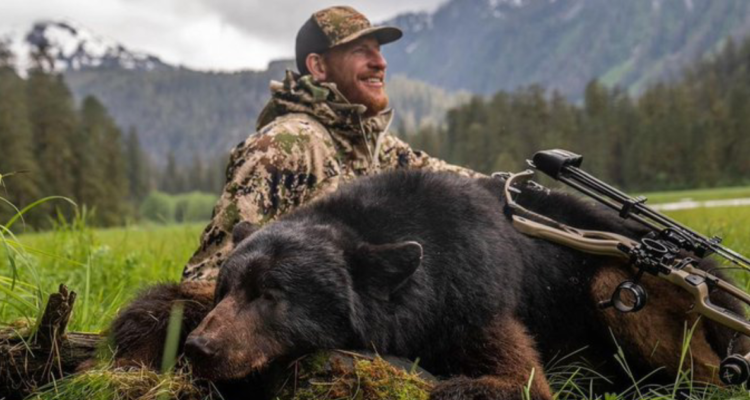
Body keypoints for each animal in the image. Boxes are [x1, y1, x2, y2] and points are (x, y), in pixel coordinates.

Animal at [111, 170, 745, 399]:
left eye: (274, 295)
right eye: (230, 290)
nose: (202, 349)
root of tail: (717, 275)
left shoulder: (475, 296)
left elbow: (515, 381)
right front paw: (142, 332)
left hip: (622, 285)